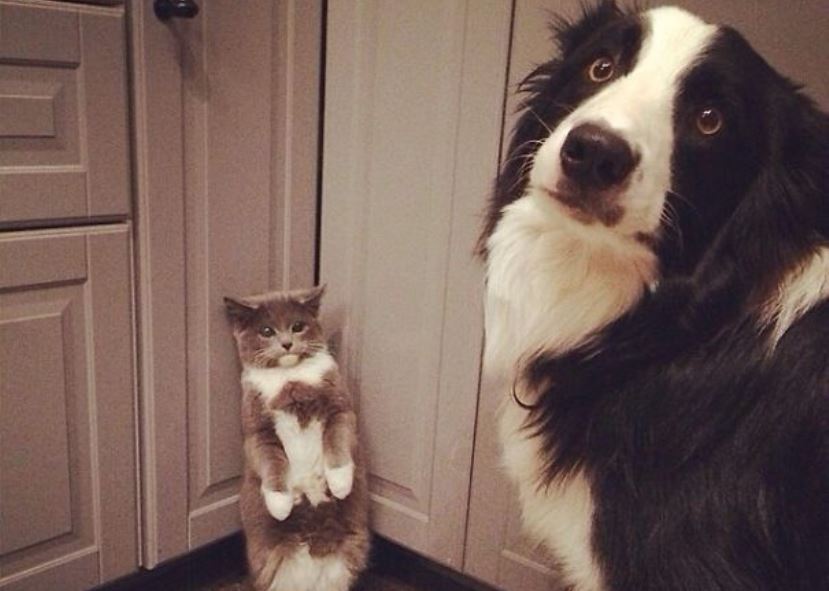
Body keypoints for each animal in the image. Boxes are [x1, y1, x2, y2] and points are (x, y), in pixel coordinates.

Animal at [224, 285, 370, 591]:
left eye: (298, 326)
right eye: (266, 330)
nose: (287, 343)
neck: (291, 378)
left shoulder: (340, 407)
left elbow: (337, 441)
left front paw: (340, 484)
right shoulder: (257, 429)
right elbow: (271, 461)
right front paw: (280, 504)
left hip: (349, 554)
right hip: (268, 559)